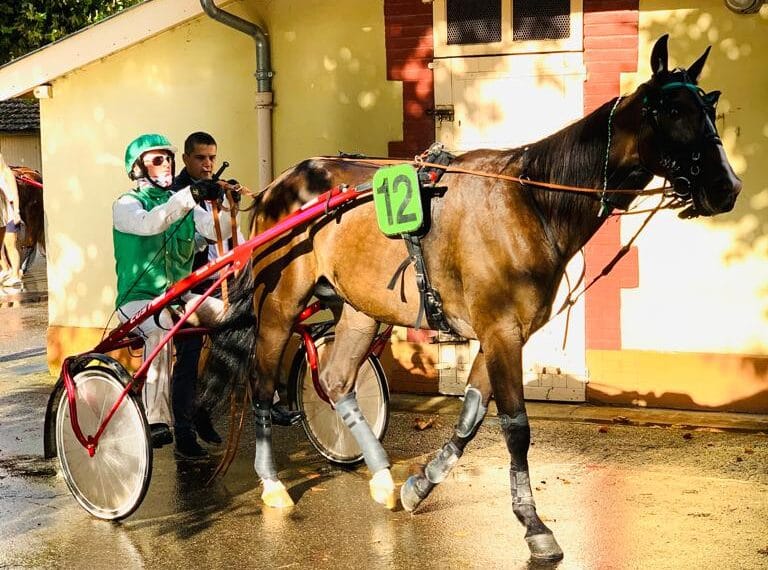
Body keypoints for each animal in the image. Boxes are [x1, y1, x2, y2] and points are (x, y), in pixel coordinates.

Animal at [201, 35, 740, 561]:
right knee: (261, 384)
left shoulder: (503, 333)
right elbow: (515, 427)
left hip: (360, 310)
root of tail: (278, 185)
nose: (727, 186)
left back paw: (382, 476)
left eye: (710, 104)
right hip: (279, 307)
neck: (529, 201)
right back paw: (272, 483)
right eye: (671, 110)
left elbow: (472, 416)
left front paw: (418, 485)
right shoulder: (501, 331)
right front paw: (534, 527)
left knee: (335, 381)